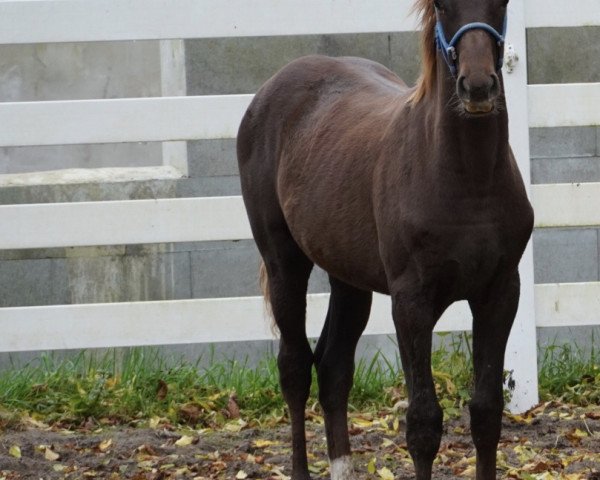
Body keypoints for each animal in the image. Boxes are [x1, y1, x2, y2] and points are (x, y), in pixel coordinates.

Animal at [237, 1, 532, 478]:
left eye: (501, 4)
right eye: (443, 6)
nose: (478, 87)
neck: (468, 182)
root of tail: (269, 90)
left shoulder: (500, 293)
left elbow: (487, 413)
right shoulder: (411, 304)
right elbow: (423, 424)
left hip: (349, 278)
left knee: (334, 368)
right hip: (285, 263)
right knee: (294, 368)